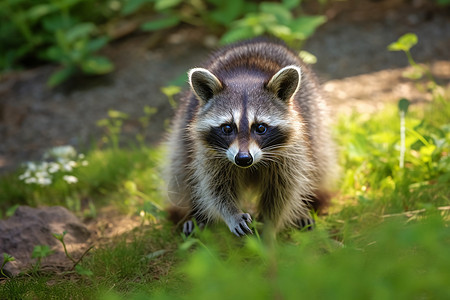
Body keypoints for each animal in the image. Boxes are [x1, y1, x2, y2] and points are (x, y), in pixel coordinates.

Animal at [165, 37, 338, 237]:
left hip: (316, 123)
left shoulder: (291, 150)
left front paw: (269, 226)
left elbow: (283, 190)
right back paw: (195, 216)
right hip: (182, 129)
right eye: (227, 128)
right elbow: (213, 187)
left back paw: (303, 210)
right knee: (180, 171)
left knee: (318, 167)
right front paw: (231, 214)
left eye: (260, 128)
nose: (243, 159)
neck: (245, 77)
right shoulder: (208, 152)